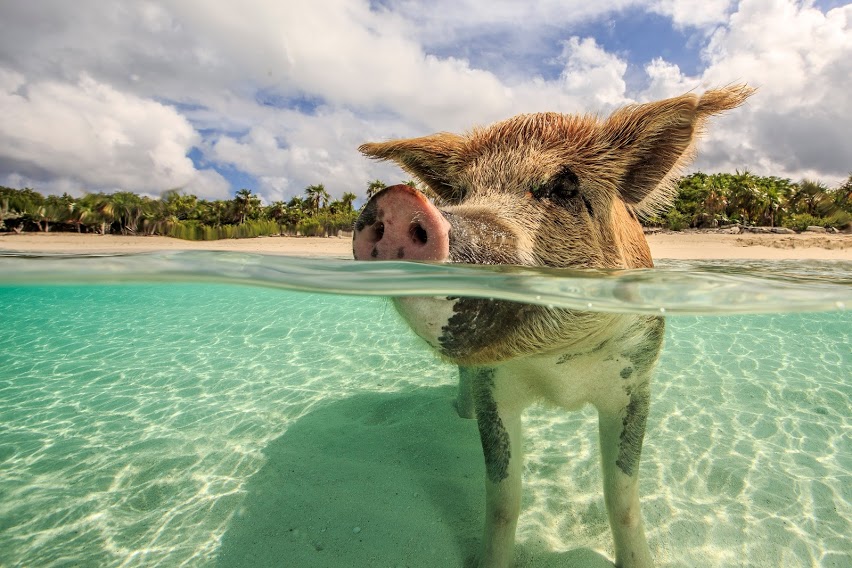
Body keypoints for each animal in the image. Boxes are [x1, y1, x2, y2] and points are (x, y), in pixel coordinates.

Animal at [352, 85, 752, 568]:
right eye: (461, 193)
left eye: (564, 187)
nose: (396, 201)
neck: (558, 367)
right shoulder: (495, 389)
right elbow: (504, 499)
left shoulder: (636, 380)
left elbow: (621, 495)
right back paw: (460, 413)